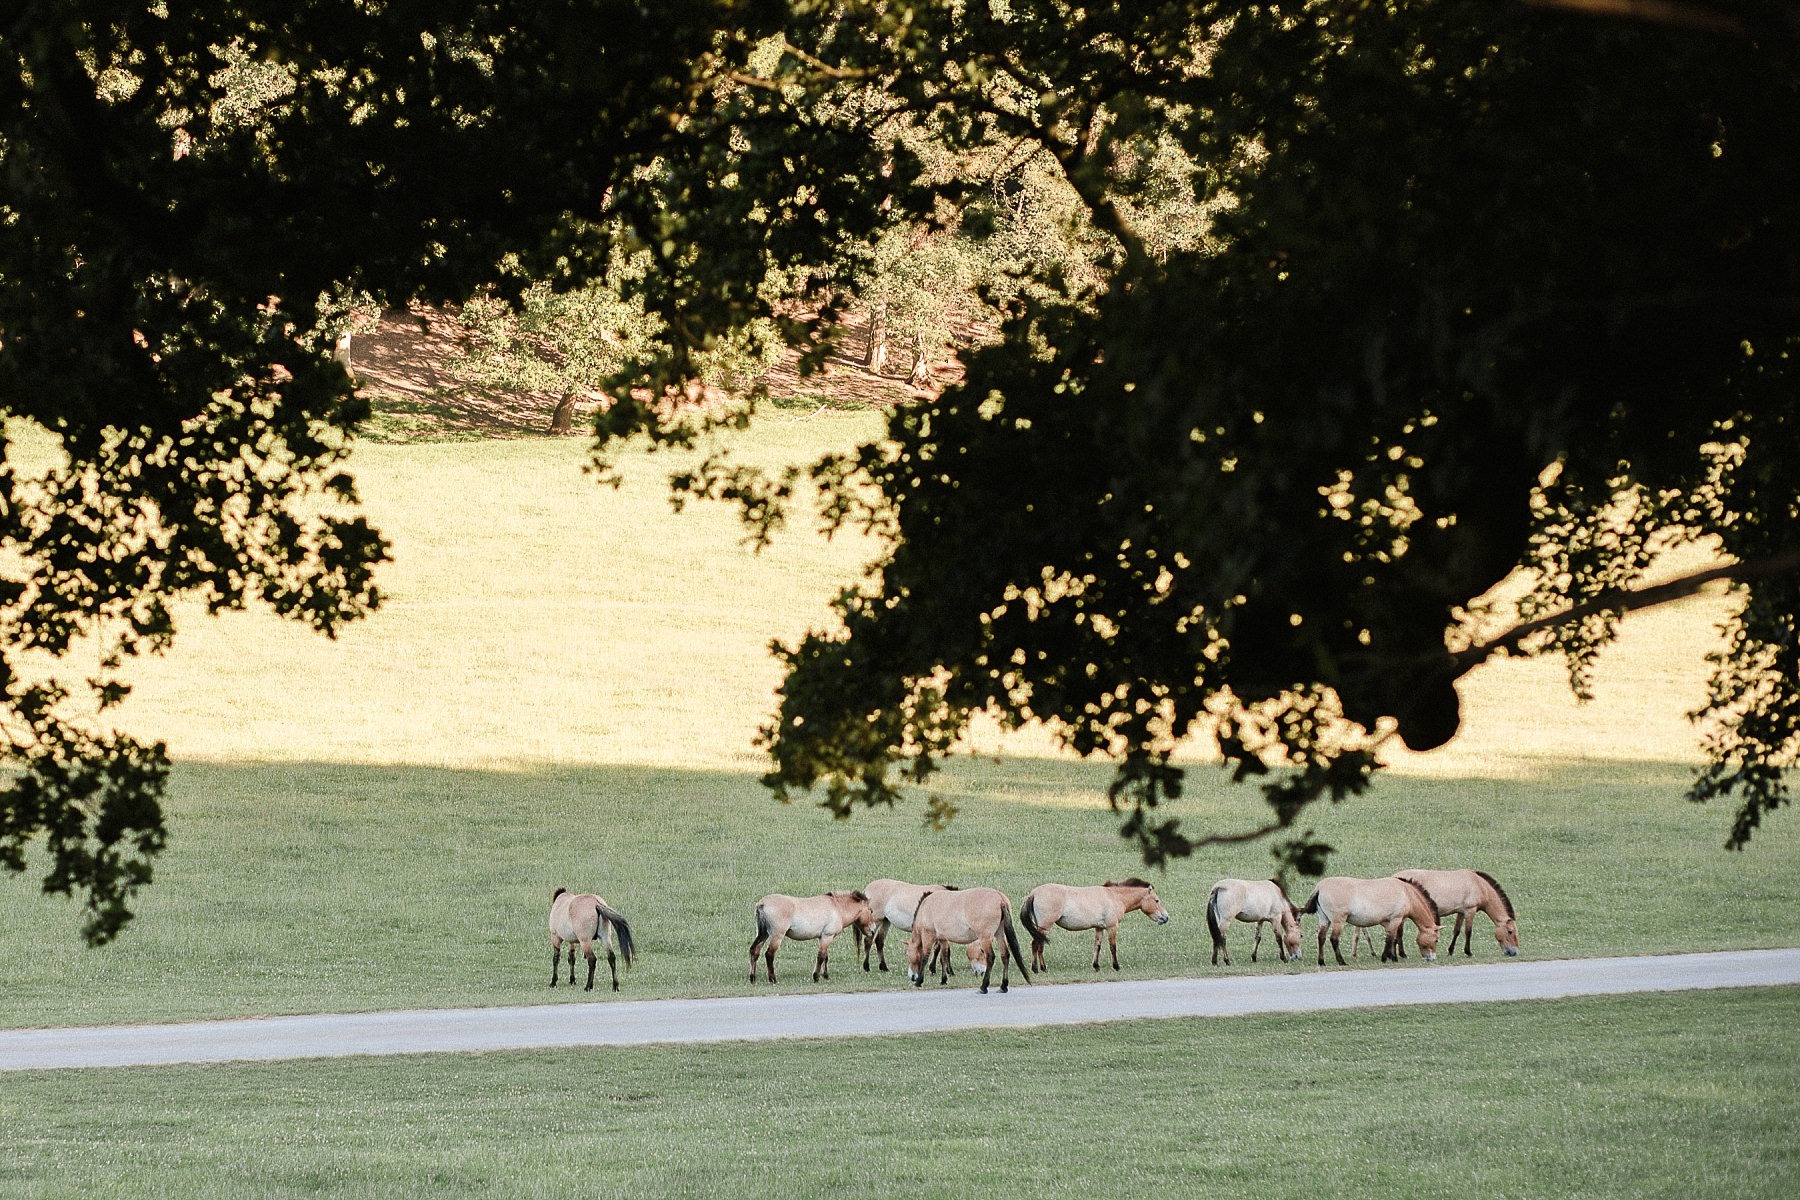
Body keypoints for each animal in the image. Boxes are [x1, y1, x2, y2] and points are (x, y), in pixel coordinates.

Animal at [907, 881, 1036, 993]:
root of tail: (1000, 898)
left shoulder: (927, 935)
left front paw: (919, 982)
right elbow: (943, 957)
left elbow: (925, 956)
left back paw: (983, 987)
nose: (912, 976)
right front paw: (943, 980)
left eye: (908, 954)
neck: (925, 908)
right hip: (999, 934)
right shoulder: (943, 939)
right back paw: (1003, 986)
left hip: (985, 938)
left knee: (991, 957)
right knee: (1005, 955)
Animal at [1022, 881, 1173, 978]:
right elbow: (1113, 947)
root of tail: (1033, 893)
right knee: (1036, 945)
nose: (1165, 917)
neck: (1114, 897)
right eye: (1157, 900)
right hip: (1045, 926)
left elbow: (1097, 946)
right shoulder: (1112, 927)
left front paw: (1096, 966)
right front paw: (1116, 966)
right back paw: (1038, 969)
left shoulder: (1099, 928)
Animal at [1303, 874, 1440, 964]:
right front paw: (1386, 958)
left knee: (1321, 938)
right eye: (1436, 940)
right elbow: (1390, 939)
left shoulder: (1389, 922)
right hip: (1338, 922)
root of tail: (1320, 887)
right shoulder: (1396, 919)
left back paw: (1321, 961)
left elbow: (1393, 938)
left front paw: (1392, 957)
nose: (1432, 958)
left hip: (1324, 920)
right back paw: (1341, 961)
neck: (1407, 893)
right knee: (1334, 939)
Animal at [1389, 867, 1519, 964]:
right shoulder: (1470, 911)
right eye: (1510, 931)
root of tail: (1394, 877)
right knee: (1398, 933)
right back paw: (1402, 955)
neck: (1478, 884)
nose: (1514, 952)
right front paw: (1468, 952)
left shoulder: (1461, 912)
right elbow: (1468, 932)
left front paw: (1450, 951)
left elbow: (1456, 931)